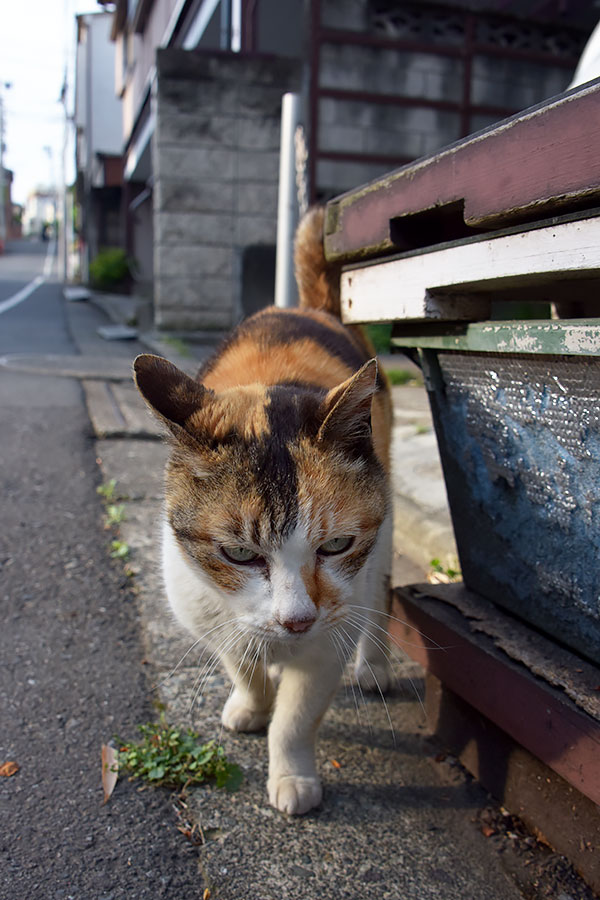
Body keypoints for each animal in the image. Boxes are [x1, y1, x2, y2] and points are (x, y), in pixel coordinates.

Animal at [133, 206, 392, 816]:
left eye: (336, 545)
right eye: (237, 553)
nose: (296, 620)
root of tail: (309, 307)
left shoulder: (329, 636)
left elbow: (296, 718)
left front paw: (293, 777)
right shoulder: (208, 610)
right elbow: (242, 664)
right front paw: (251, 705)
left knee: (380, 595)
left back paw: (374, 665)